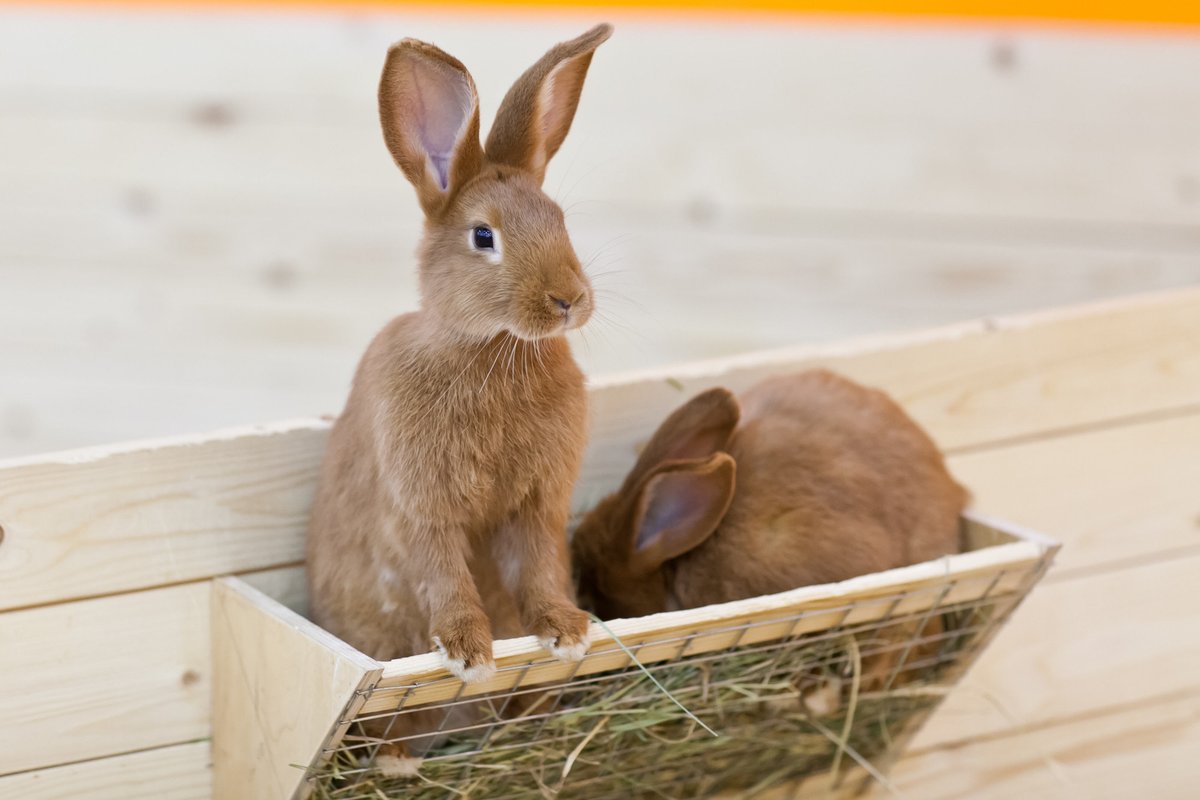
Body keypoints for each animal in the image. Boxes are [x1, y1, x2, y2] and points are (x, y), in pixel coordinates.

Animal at [307, 21, 619, 753]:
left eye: (559, 218)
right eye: (484, 236)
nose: (570, 300)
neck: (492, 349)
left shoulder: (537, 505)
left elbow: (537, 566)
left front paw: (566, 631)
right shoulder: (422, 506)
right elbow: (443, 572)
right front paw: (469, 653)